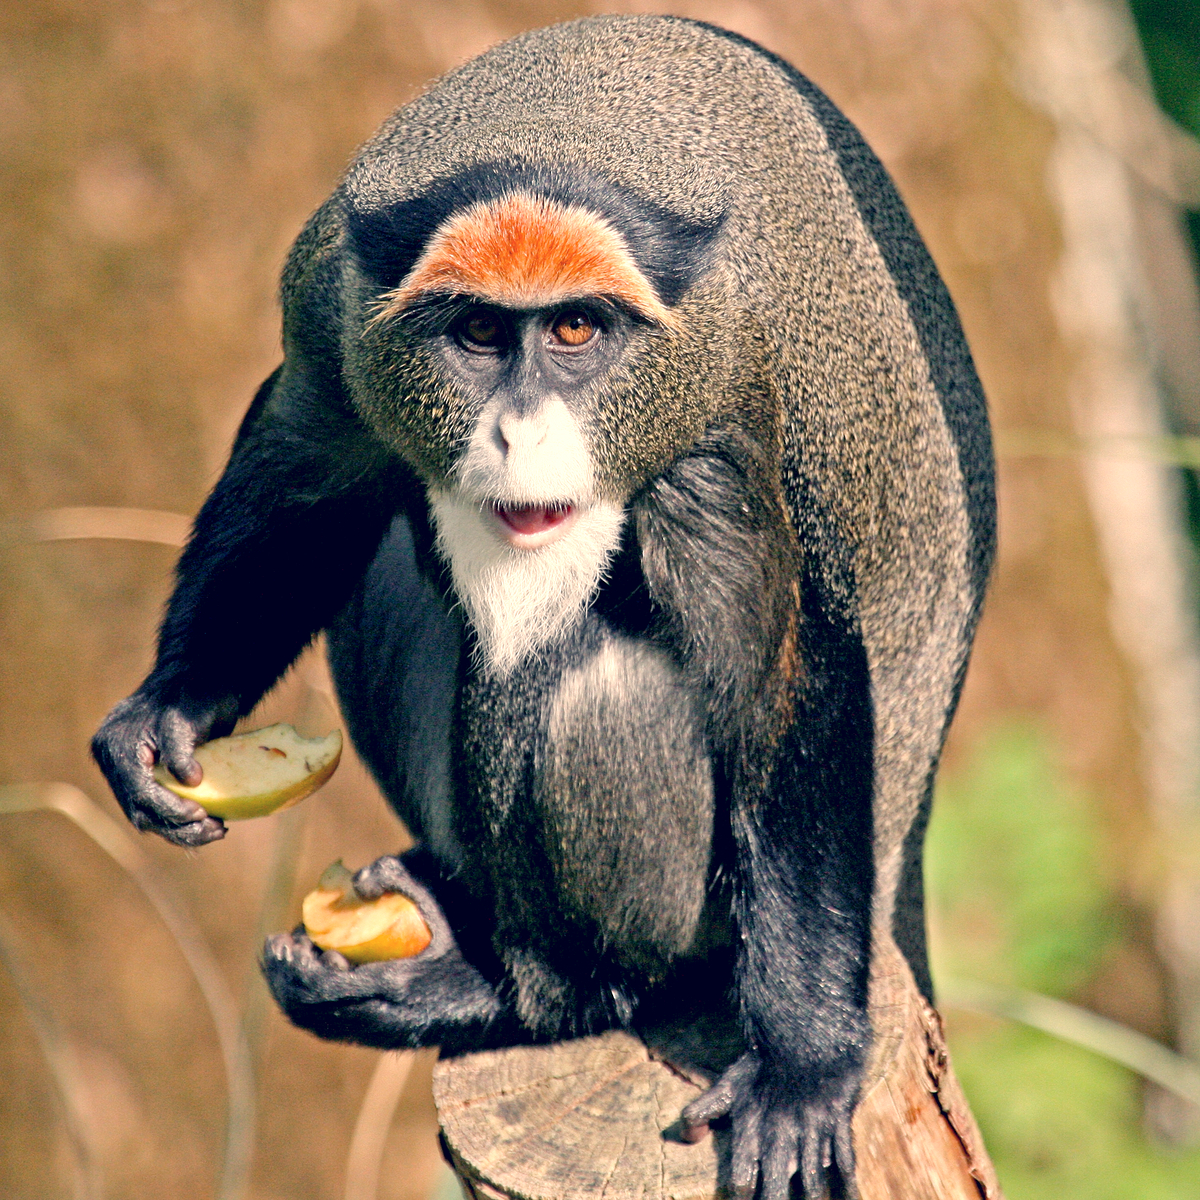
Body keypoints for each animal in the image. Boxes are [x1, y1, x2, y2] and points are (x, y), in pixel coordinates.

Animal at [91, 14, 993, 1195]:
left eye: (573, 334)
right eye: (479, 336)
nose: (519, 433)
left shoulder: (722, 398)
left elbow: (783, 675)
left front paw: (802, 1071)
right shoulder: (329, 318)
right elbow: (305, 481)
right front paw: (167, 713)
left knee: (591, 694)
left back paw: (528, 994)